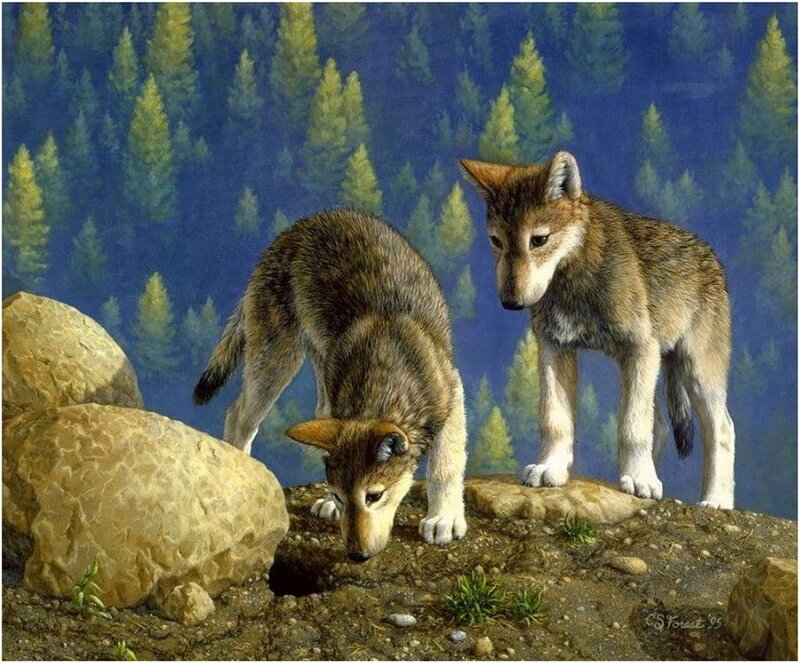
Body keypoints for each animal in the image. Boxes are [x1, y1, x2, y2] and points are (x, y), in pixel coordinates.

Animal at [193, 209, 468, 561]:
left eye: (374, 496)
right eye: (340, 495)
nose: (356, 556)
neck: (386, 378)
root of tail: (299, 228)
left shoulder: (452, 393)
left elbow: (445, 464)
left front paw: (443, 519)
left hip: (316, 367)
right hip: (276, 359)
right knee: (238, 415)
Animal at [460, 151, 735, 509]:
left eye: (539, 240)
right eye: (496, 241)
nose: (510, 302)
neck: (572, 281)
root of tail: (711, 256)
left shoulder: (639, 349)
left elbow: (632, 428)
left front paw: (641, 480)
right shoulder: (554, 347)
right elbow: (555, 419)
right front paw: (551, 469)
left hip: (696, 373)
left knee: (722, 429)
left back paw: (717, 501)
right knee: (660, 425)